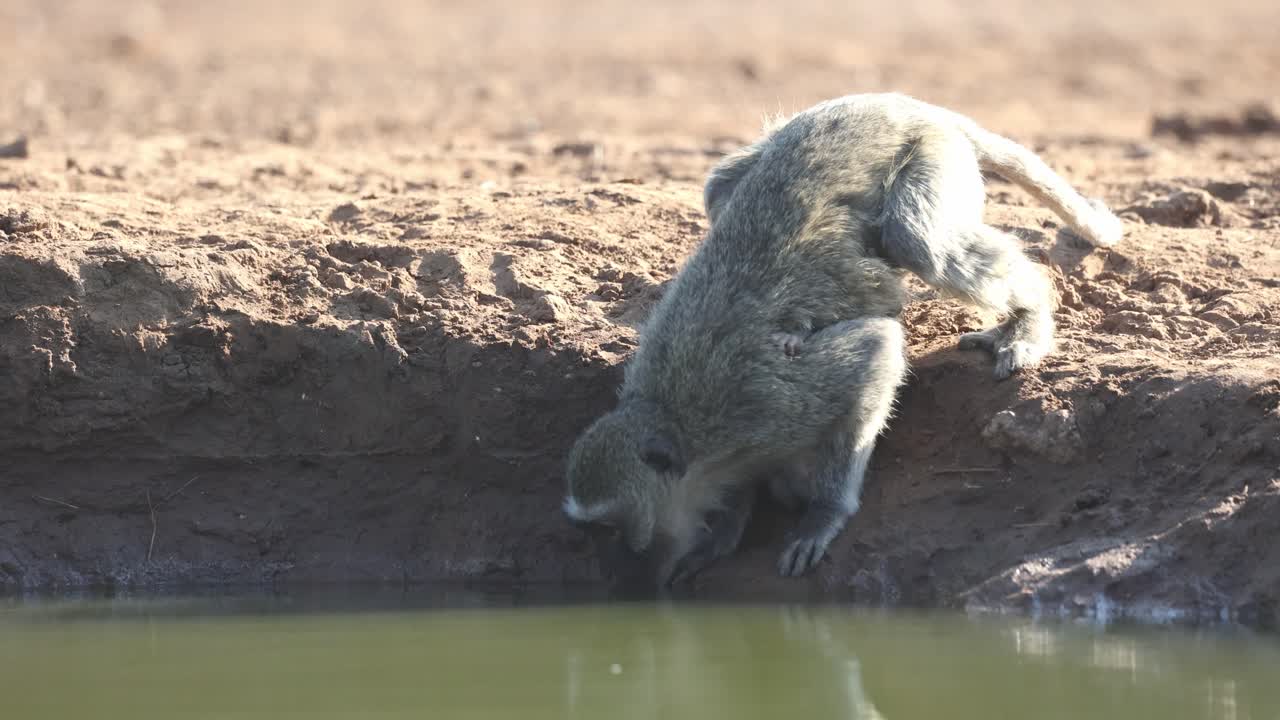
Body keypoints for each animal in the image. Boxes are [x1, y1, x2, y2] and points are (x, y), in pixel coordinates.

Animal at [564, 92, 1123, 591]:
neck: (680, 423)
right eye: (592, 533)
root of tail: (897, 103)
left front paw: (822, 513)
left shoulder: (767, 401)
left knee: (917, 240)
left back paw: (1030, 316)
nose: (613, 570)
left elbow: (877, 349)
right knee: (720, 187)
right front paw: (724, 531)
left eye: (610, 530)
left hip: (932, 153)